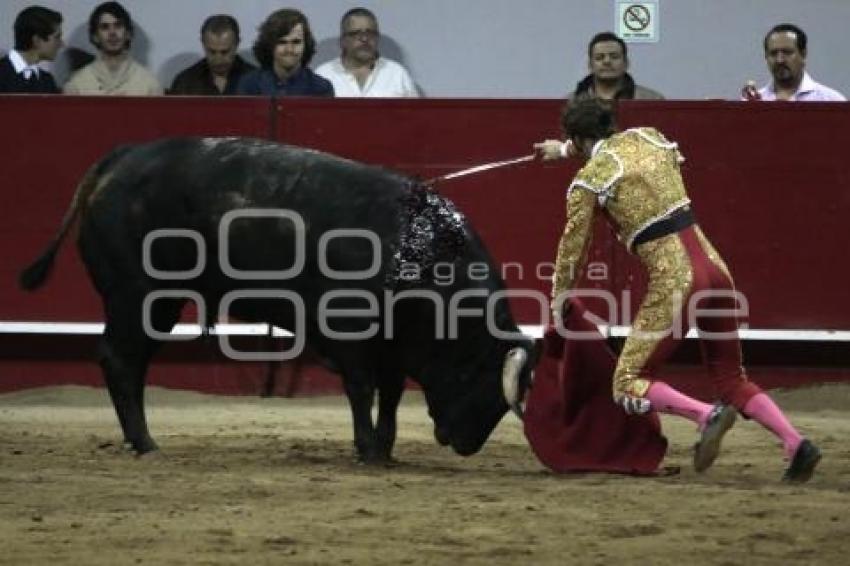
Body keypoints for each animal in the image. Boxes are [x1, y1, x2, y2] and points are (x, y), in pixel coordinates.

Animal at [19, 140, 528, 464]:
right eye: (481, 377)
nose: (466, 444)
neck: (417, 246)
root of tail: (117, 162)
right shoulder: (352, 334)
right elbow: (363, 389)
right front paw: (367, 450)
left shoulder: (392, 347)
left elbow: (391, 394)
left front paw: (384, 449)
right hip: (138, 296)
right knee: (121, 360)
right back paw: (145, 444)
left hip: (153, 305)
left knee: (133, 362)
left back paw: (139, 440)